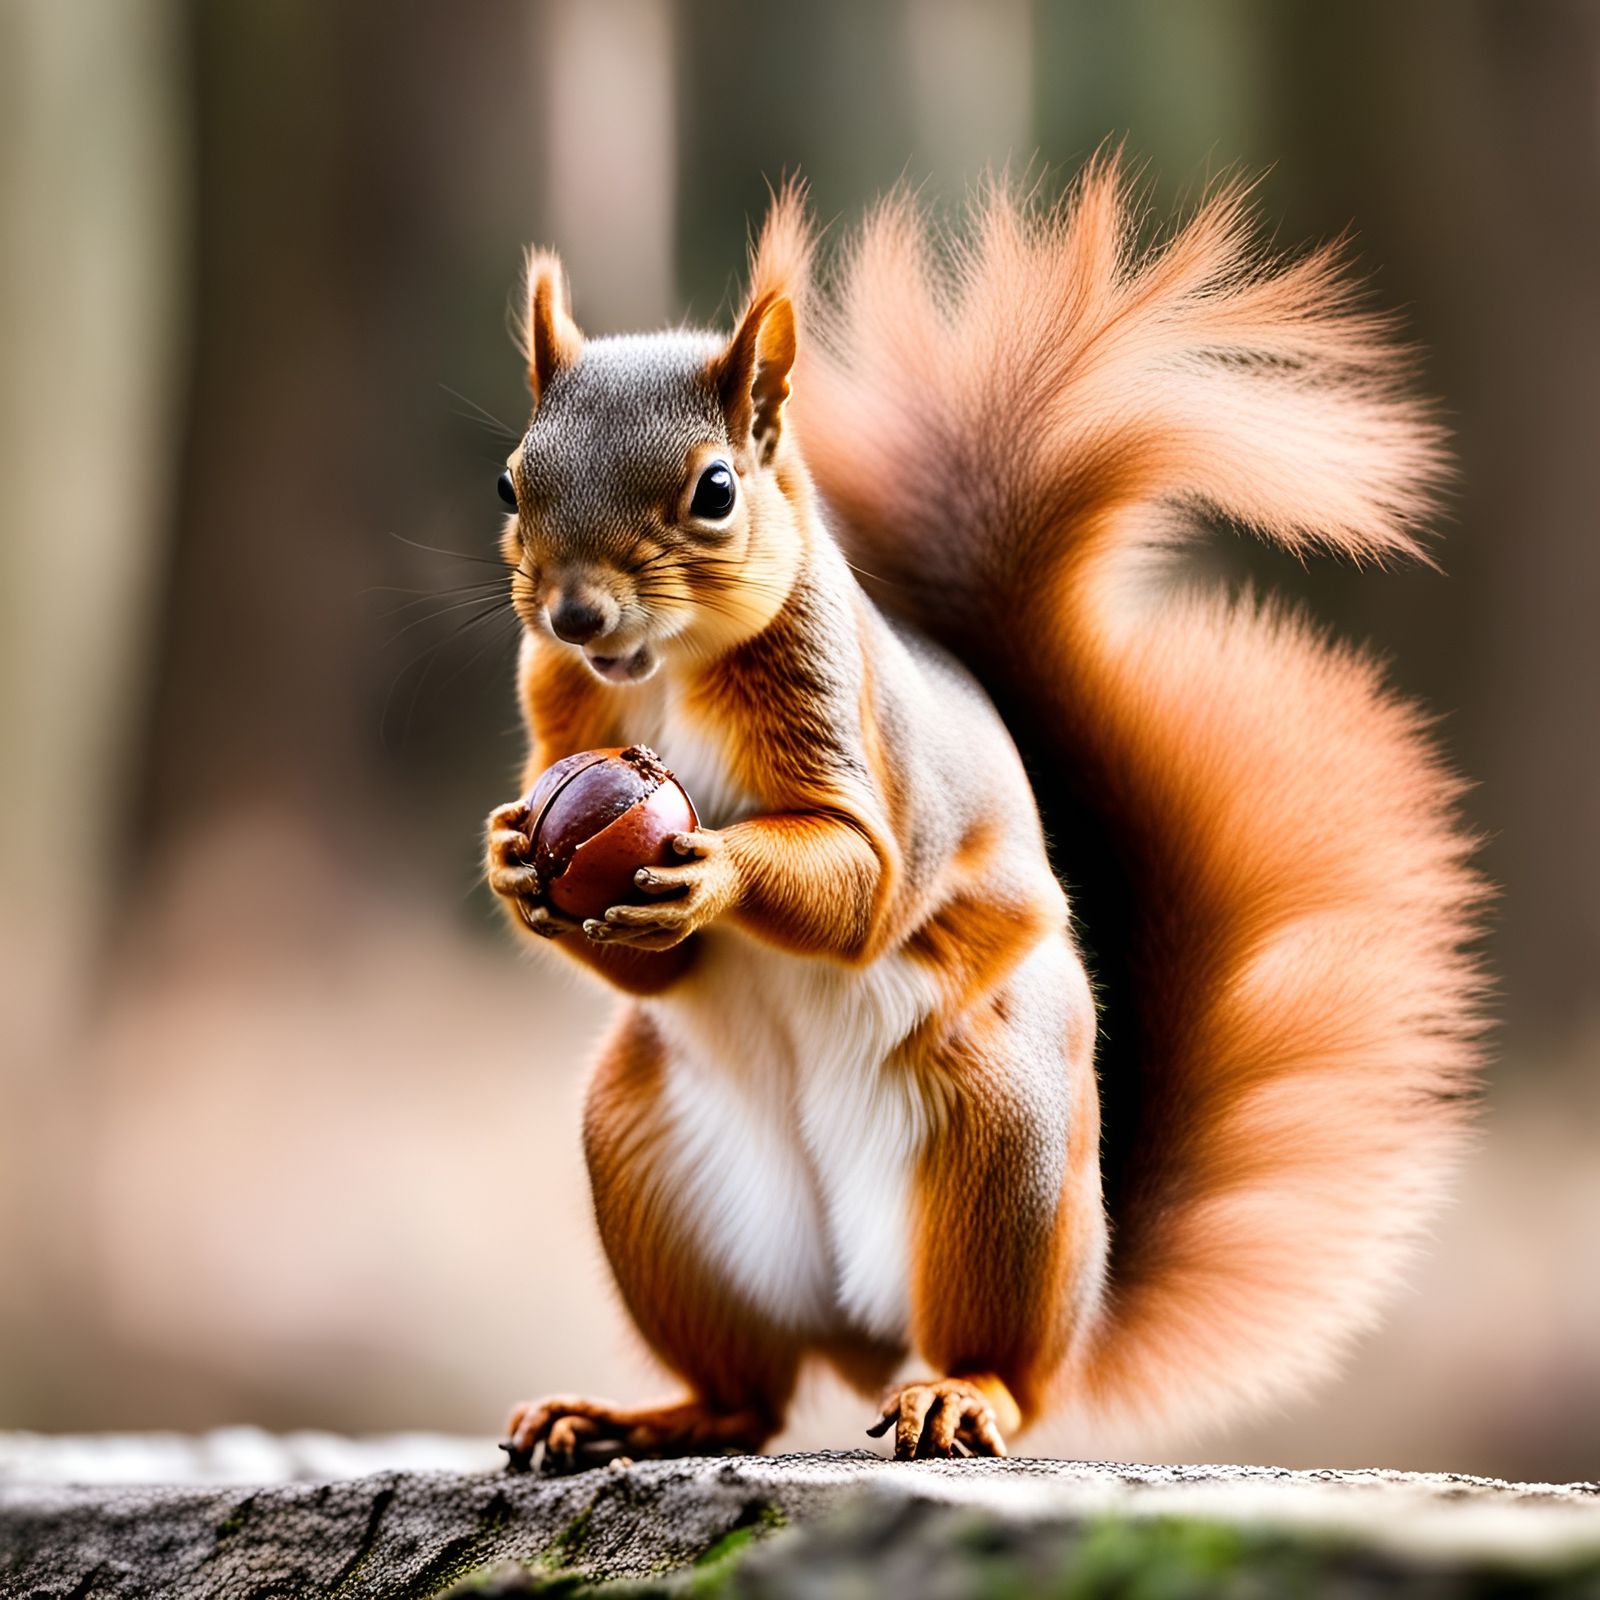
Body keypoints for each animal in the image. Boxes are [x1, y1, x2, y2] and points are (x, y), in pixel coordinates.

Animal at [484, 159, 1484, 1468]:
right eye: (510, 481)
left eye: (714, 491)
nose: (576, 615)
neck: (659, 671)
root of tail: (861, 1328)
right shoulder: (561, 721)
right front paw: (513, 858)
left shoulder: (853, 729)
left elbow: (863, 880)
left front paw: (709, 874)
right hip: (646, 1154)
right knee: (745, 1397)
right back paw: (634, 1416)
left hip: (999, 1144)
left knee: (1001, 1365)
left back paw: (961, 1393)